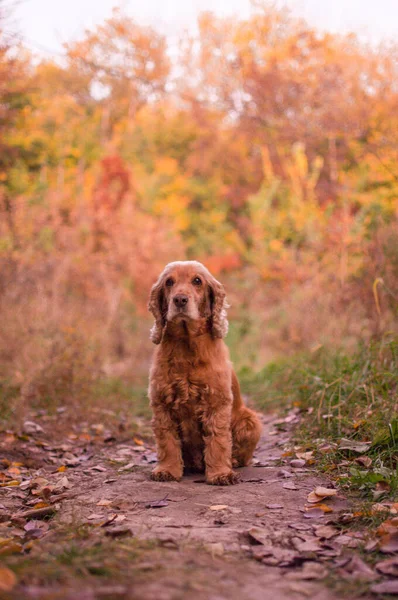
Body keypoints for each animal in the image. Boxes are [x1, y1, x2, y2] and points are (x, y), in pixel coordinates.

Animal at [147, 260, 262, 486]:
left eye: (197, 281)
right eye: (169, 282)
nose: (180, 300)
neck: (186, 343)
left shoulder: (215, 402)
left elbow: (218, 441)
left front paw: (220, 474)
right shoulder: (162, 403)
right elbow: (167, 441)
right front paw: (167, 470)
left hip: (250, 420)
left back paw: (232, 462)